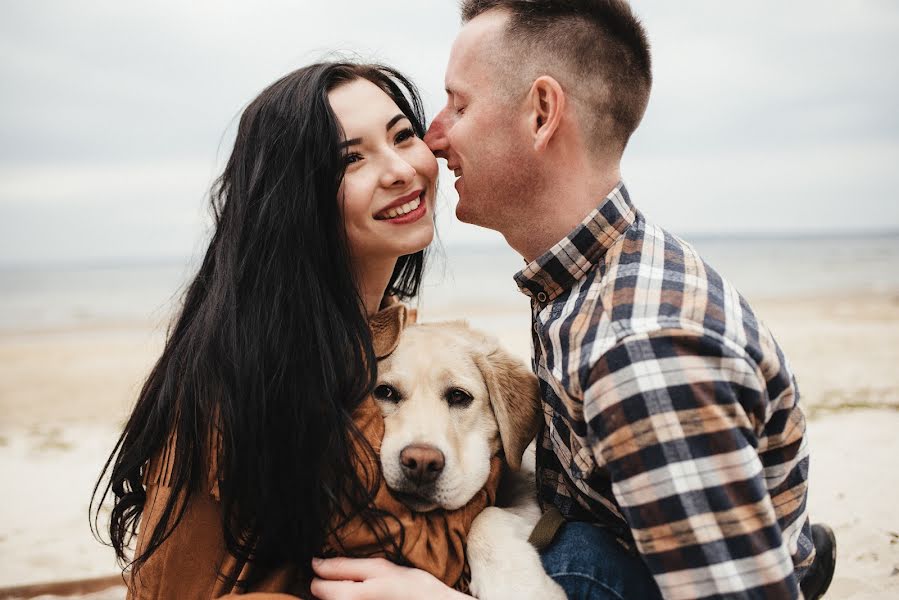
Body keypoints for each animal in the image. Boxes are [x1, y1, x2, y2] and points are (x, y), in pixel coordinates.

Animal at [376, 322, 568, 600]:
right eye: (385, 392)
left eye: (458, 396)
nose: (421, 463)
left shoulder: (530, 496)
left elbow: (487, 515)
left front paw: (515, 585)